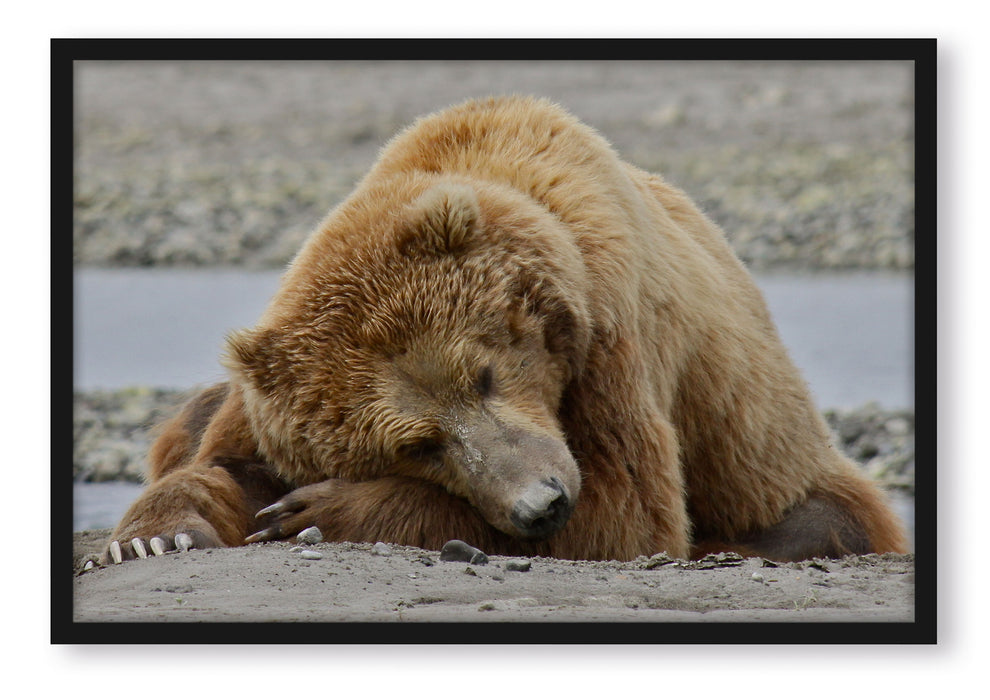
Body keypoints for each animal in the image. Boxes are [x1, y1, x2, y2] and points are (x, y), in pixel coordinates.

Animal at [101, 94, 908, 564]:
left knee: (817, 519)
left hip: (774, 457)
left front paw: (315, 510)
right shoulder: (265, 387)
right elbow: (218, 462)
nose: (540, 503)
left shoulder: (613, 334)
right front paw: (155, 534)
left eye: (484, 374)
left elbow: (628, 510)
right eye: (418, 443)